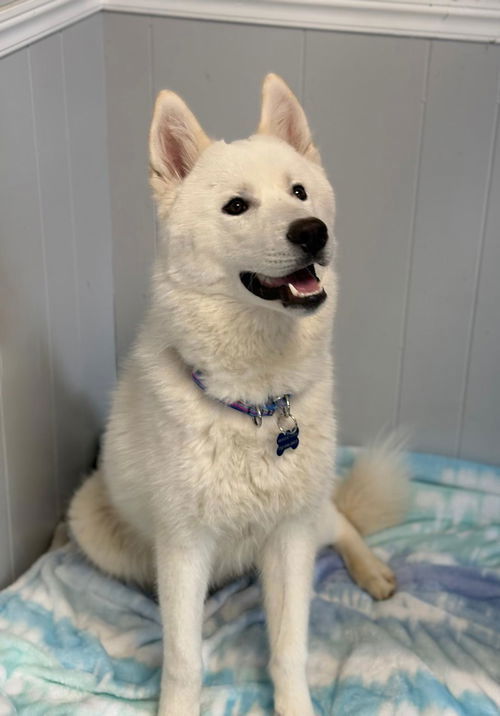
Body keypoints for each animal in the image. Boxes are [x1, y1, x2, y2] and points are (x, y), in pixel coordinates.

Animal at [68, 74, 408, 716]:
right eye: (236, 206)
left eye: (299, 192)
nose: (312, 231)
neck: (257, 405)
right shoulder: (183, 548)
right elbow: (183, 661)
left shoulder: (289, 540)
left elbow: (288, 649)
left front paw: (295, 704)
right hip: (92, 521)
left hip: (309, 514)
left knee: (340, 522)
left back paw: (372, 571)